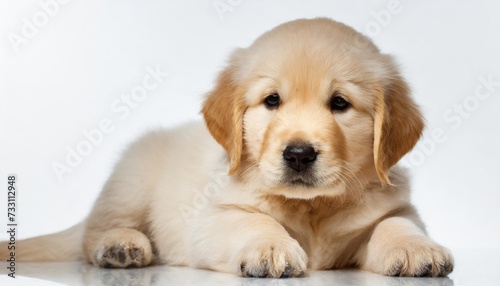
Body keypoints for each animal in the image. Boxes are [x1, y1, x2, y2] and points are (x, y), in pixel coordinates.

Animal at [0, 17, 454, 278]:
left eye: (340, 104)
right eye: (272, 100)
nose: (299, 154)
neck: (312, 209)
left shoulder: (393, 206)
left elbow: (395, 223)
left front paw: (417, 249)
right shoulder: (213, 217)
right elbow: (253, 221)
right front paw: (271, 247)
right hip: (130, 180)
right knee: (90, 236)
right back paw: (121, 246)